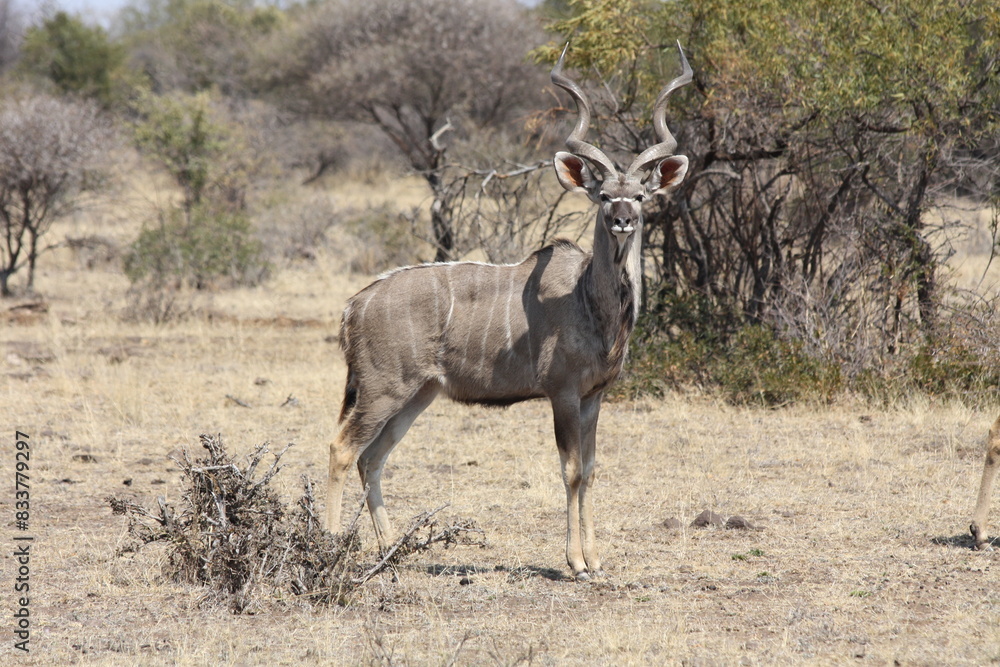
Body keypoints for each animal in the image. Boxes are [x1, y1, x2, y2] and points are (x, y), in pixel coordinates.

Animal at [325, 43, 693, 580]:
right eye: (604, 196)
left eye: (641, 195)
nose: (623, 220)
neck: (590, 303)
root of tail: (355, 305)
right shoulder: (563, 393)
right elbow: (570, 470)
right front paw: (576, 563)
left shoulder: (595, 397)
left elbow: (591, 470)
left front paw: (596, 559)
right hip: (382, 390)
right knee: (342, 449)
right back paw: (328, 545)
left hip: (417, 396)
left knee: (371, 459)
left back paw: (390, 551)